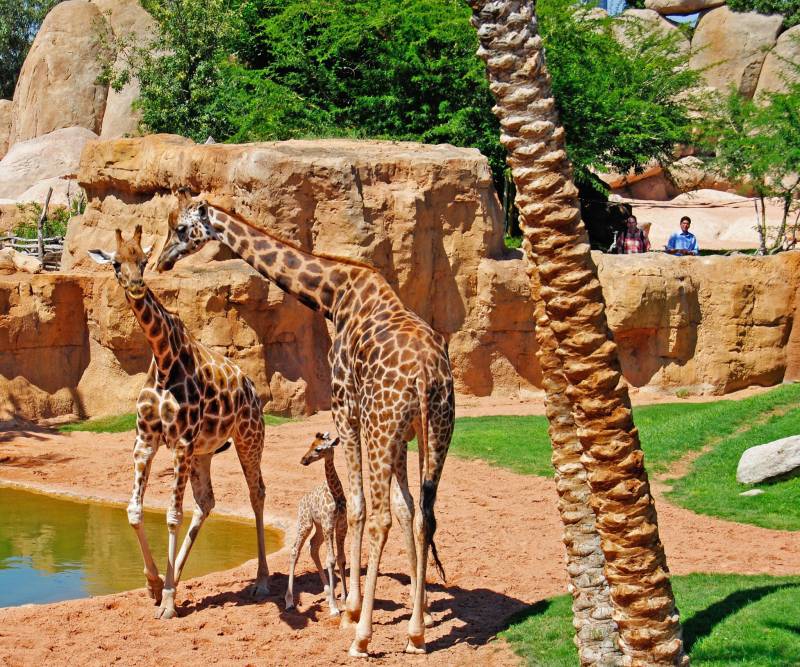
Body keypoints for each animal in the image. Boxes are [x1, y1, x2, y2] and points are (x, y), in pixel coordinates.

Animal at [88, 227, 268, 624]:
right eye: (116, 263)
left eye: (143, 260)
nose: (136, 284)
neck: (163, 359)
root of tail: (250, 386)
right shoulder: (146, 441)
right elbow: (134, 511)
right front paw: (156, 585)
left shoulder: (181, 441)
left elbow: (171, 515)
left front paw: (168, 601)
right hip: (204, 452)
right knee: (207, 502)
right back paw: (178, 577)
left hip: (248, 438)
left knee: (257, 493)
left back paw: (262, 580)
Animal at [290, 434, 348, 616]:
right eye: (311, 444)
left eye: (318, 448)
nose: (303, 460)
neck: (336, 493)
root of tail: (301, 501)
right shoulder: (329, 524)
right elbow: (331, 560)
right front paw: (335, 608)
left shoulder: (341, 525)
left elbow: (341, 559)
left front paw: (345, 600)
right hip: (305, 523)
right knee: (295, 550)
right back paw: (289, 601)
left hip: (319, 528)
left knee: (313, 547)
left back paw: (329, 594)